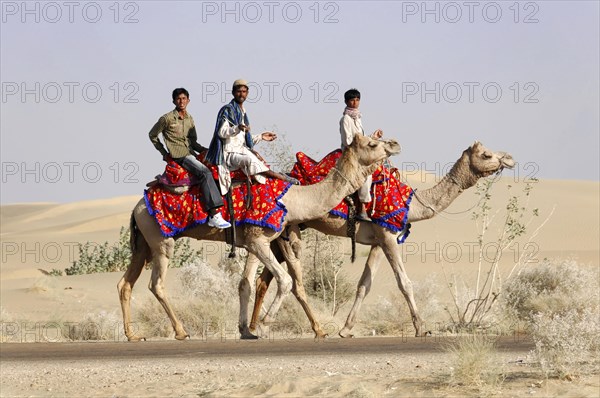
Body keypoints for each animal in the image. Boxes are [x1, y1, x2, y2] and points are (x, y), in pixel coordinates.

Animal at [116, 134, 404, 338]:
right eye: (372, 142)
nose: (395, 143)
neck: (291, 199)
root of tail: (136, 207)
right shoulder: (258, 239)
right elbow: (285, 280)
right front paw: (264, 326)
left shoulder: (257, 241)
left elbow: (258, 282)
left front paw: (251, 328)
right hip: (161, 239)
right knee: (156, 283)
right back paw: (181, 331)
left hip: (143, 243)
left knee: (125, 283)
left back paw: (133, 335)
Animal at [248, 141, 516, 338]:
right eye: (486, 154)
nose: (510, 158)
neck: (411, 203)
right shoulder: (388, 237)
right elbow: (404, 283)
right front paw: (421, 327)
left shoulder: (378, 241)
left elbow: (364, 285)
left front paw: (346, 329)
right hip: (285, 233)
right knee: (287, 280)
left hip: (278, 235)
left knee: (263, 280)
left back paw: (252, 329)